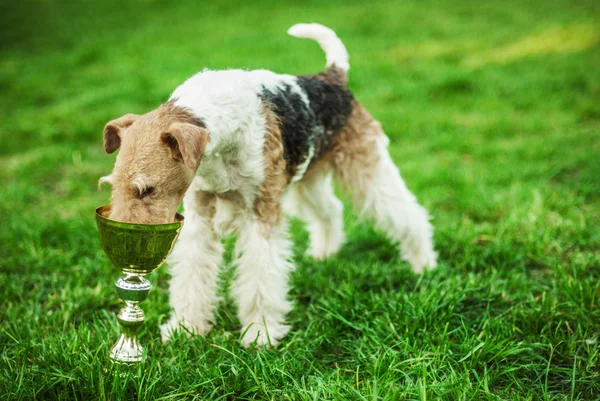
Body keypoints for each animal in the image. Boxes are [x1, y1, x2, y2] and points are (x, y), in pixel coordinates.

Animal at [99, 23, 436, 346]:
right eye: (112, 186)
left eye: (147, 190)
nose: (128, 249)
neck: (218, 132)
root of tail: (333, 76)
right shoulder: (200, 213)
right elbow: (193, 272)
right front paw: (187, 328)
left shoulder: (261, 213)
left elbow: (260, 278)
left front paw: (260, 334)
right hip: (307, 180)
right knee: (331, 211)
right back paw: (324, 253)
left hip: (367, 167)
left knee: (408, 215)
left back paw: (424, 264)